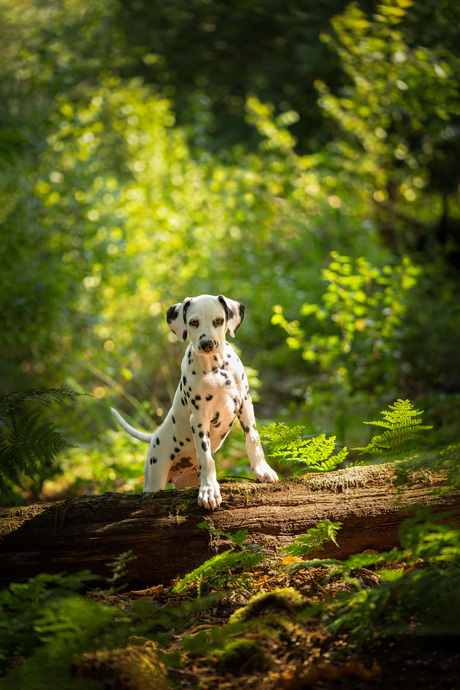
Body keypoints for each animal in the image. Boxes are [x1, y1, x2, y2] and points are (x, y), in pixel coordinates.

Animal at [111, 292, 276, 508]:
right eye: (193, 322)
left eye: (219, 320)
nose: (207, 344)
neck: (215, 369)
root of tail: (155, 435)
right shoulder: (199, 418)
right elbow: (206, 458)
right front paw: (209, 490)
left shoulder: (245, 404)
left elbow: (253, 439)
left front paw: (262, 470)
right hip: (155, 475)